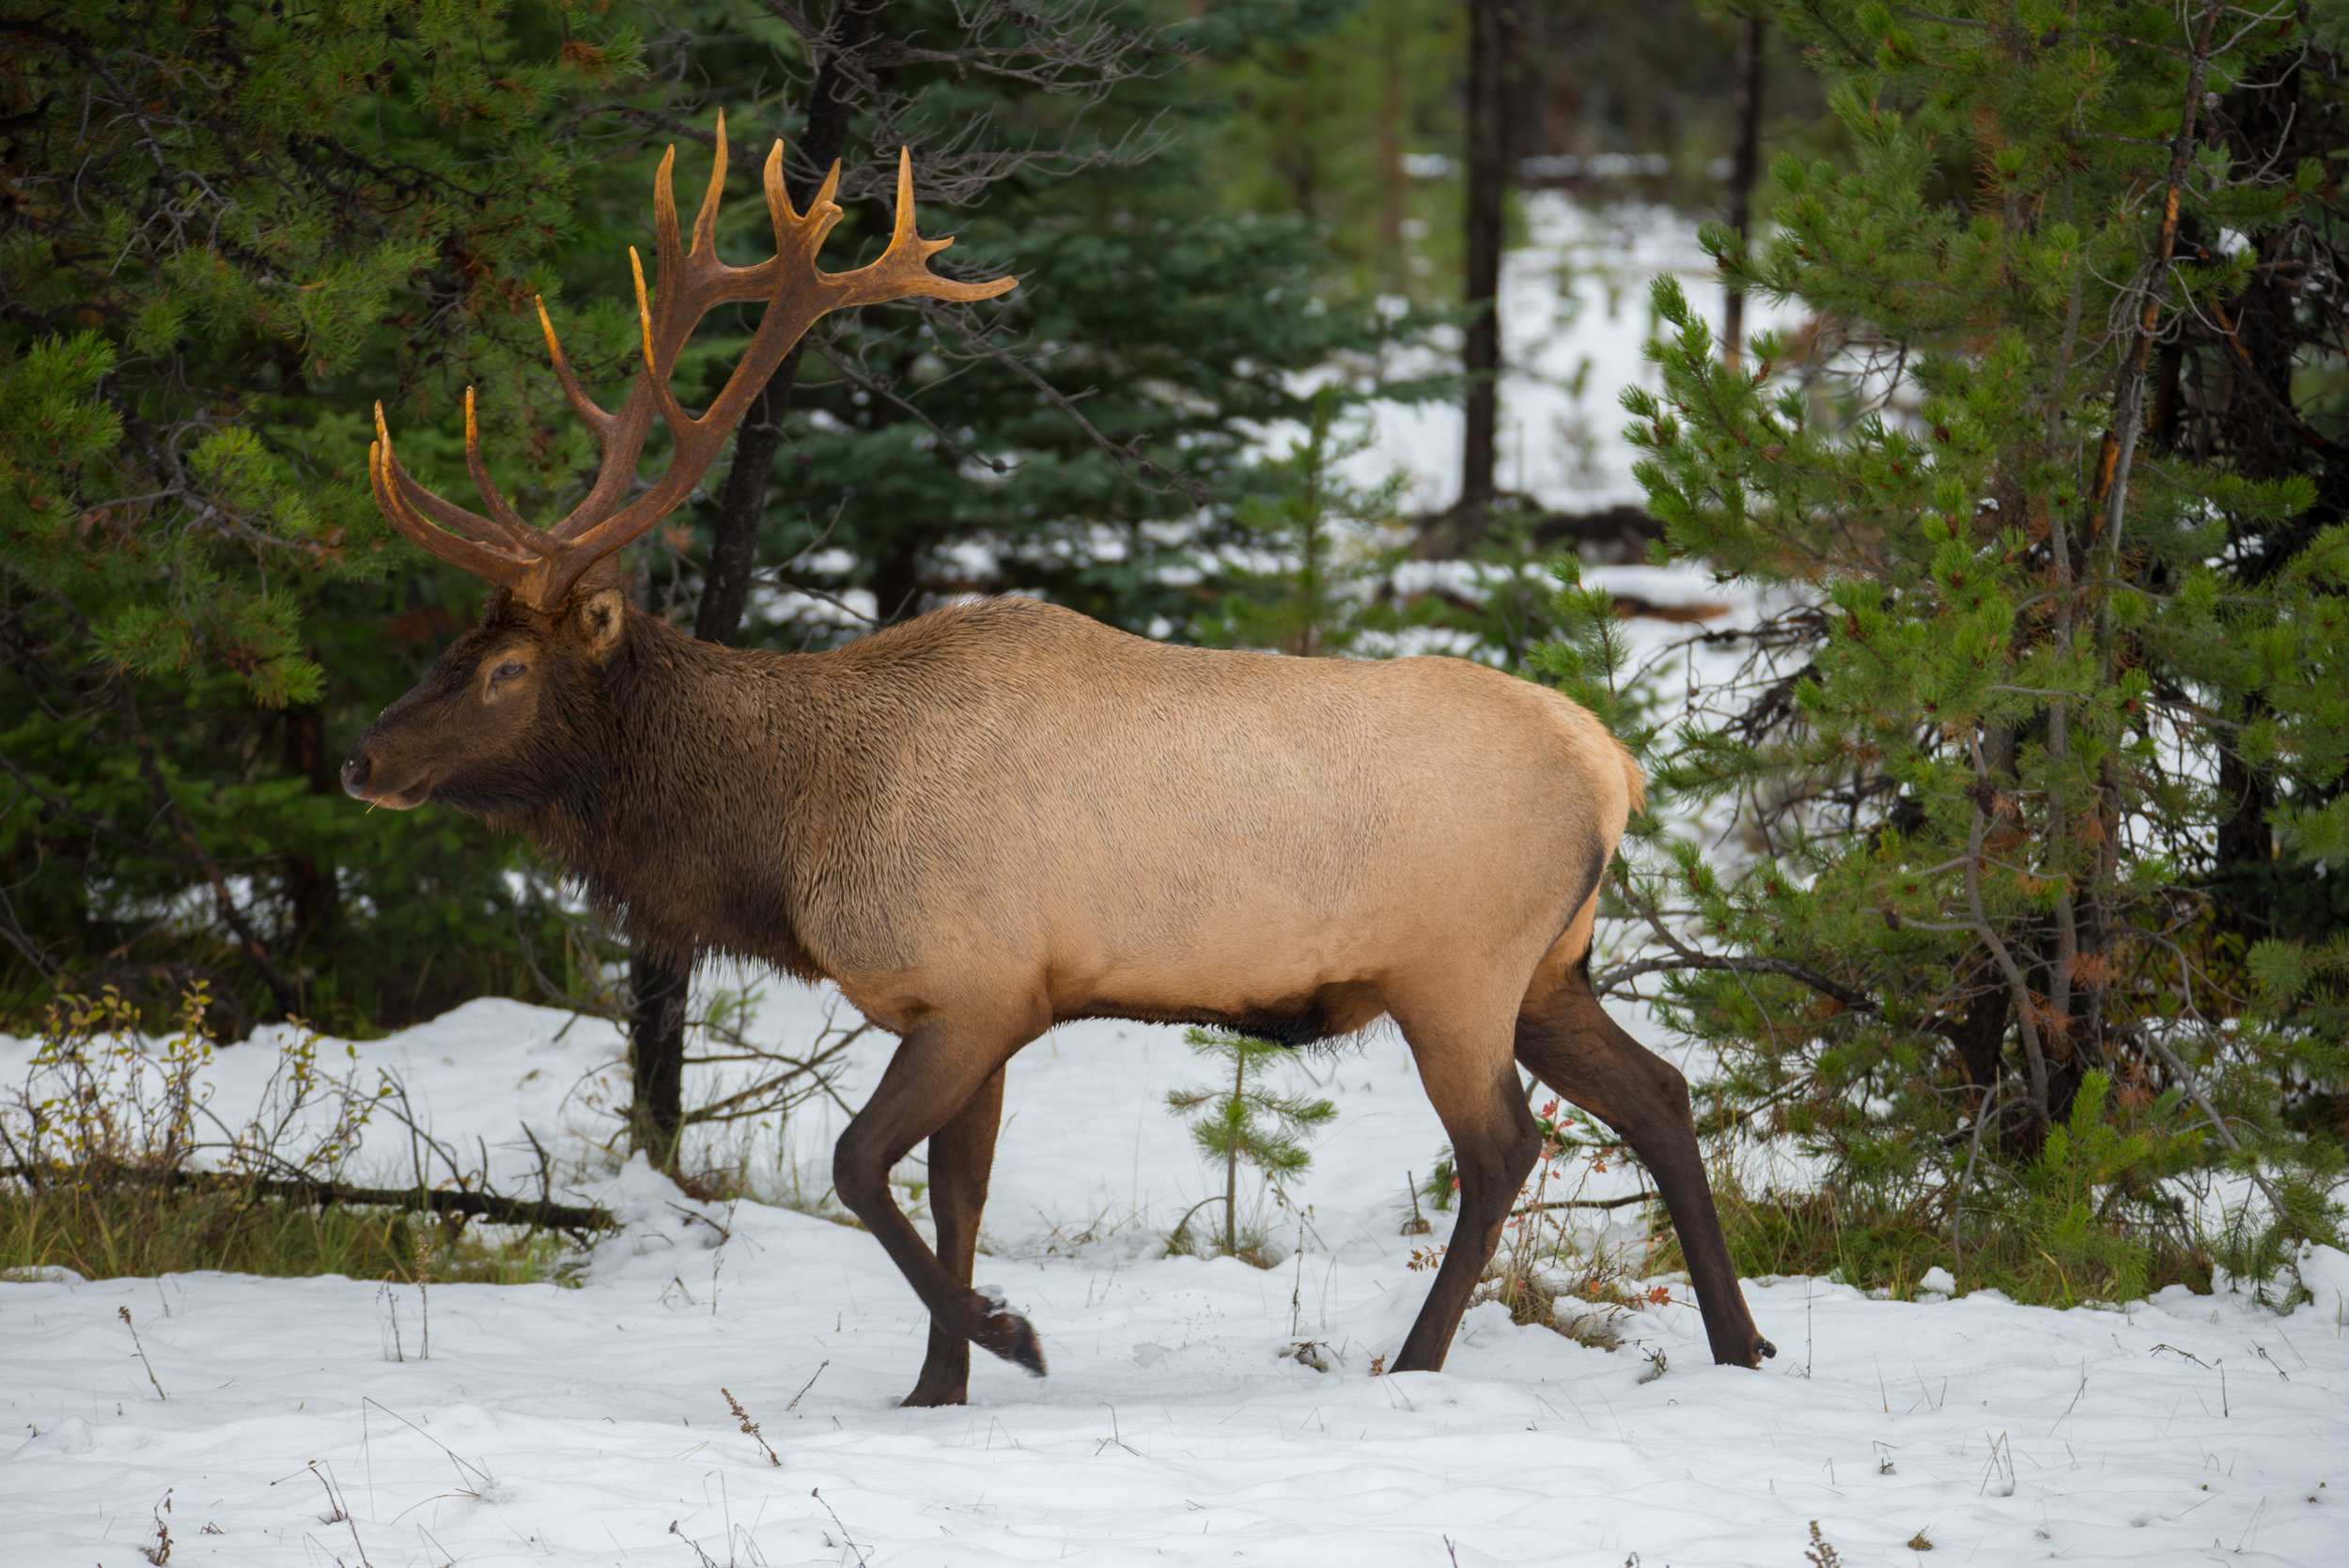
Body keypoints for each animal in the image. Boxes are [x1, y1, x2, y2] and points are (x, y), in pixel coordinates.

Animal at [348, 116, 1766, 1399]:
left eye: (506, 669)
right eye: (454, 643)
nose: (362, 757)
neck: (795, 831)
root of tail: (1612, 765)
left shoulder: (978, 988)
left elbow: (859, 1165)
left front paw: (1008, 1336)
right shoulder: (974, 1007)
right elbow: (954, 1188)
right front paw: (936, 1390)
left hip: (1457, 969)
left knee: (1502, 1149)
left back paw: (1415, 1365)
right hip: (1550, 967)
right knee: (1662, 1094)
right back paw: (1739, 1344)